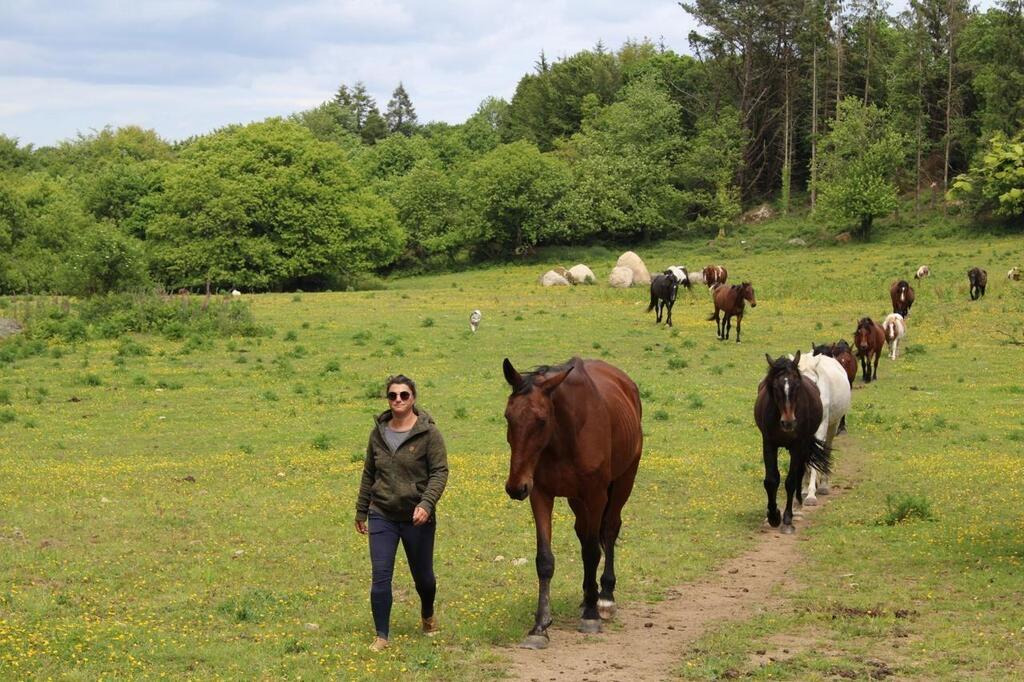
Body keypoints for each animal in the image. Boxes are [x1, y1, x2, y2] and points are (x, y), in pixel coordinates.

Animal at [501, 356, 638, 647]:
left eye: (541, 420)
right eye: (508, 417)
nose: (516, 487)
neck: (564, 437)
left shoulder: (596, 495)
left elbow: (592, 552)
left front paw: (592, 616)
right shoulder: (540, 495)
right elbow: (545, 560)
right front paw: (540, 626)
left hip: (623, 482)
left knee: (609, 530)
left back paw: (604, 598)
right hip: (577, 500)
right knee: (584, 533)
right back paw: (588, 596)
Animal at [753, 352, 831, 532]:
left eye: (796, 386)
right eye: (775, 387)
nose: (788, 422)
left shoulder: (797, 446)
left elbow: (791, 481)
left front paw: (787, 519)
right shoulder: (769, 444)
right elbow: (771, 480)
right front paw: (773, 516)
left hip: (803, 446)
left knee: (800, 472)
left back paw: (798, 505)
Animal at [794, 350, 851, 503]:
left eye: (814, 383)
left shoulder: (820, 429)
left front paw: (811, 495)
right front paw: (804, 489)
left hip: (832, 426)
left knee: (826, 450)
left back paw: (824, 485)